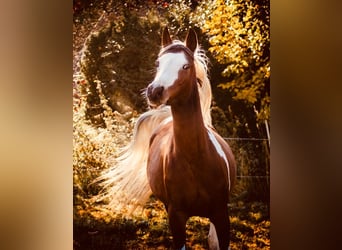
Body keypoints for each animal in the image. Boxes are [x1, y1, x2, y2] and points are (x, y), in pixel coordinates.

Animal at [146, 27, 236, 250]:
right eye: (158, 63)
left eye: (185, 66)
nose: (154, 91)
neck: (195, 159)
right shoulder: (176, 217)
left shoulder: (221, 215)